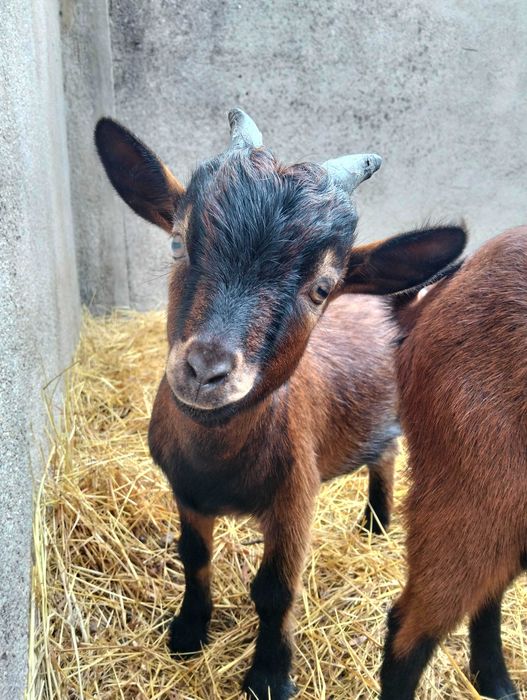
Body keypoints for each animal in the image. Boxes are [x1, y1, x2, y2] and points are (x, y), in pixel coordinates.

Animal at [95, 109, 465, 699]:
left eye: (322, 287)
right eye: (178, 243)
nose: (206, 370)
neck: (218, 463)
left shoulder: (295, 497)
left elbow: (275, 589)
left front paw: (270, 675)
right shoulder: (186, 490)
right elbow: (194, 557)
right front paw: (188, 633)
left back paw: (378, 524)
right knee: (382, 452)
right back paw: (374, 526)